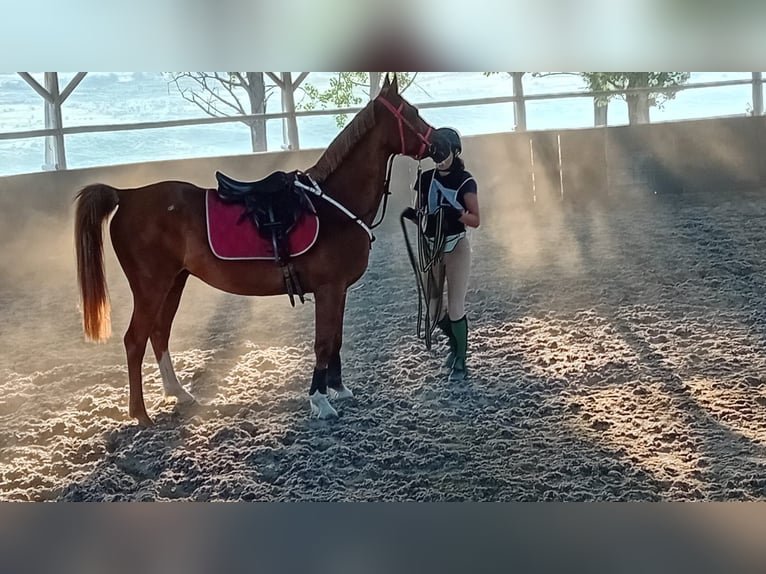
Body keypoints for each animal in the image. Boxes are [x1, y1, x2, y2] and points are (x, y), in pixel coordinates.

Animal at [77, 75, 438, 428]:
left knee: (158, 333)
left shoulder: (338, 291)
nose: (442, 142)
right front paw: (320, 401)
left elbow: (335, 339)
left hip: (174, 282)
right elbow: (323, 342)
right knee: (135, 340)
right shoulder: (329, 289)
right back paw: (140, 413)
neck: (332, 205)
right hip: (151, 286)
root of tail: (128, 196)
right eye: (412, 112)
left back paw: (178, 393)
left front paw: (337, 388)